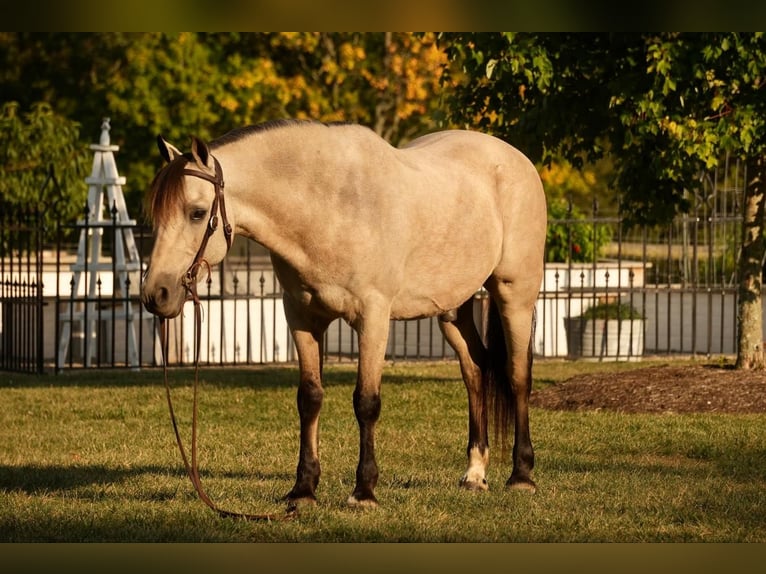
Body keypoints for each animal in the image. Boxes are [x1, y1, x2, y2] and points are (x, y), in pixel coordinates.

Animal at [141, 119, 548, 510]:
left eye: (197, 213)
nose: (155, 294)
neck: (330, 207)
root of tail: (516, 159)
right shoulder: (302, 317)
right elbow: (309, 398)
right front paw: (303, 490)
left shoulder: (372, 317)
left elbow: (366, 402)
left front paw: (364, 492)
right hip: (452, 308)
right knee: (475, 371)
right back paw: (475, 474)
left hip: (515, 295)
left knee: (517, 376)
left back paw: (522, 476)